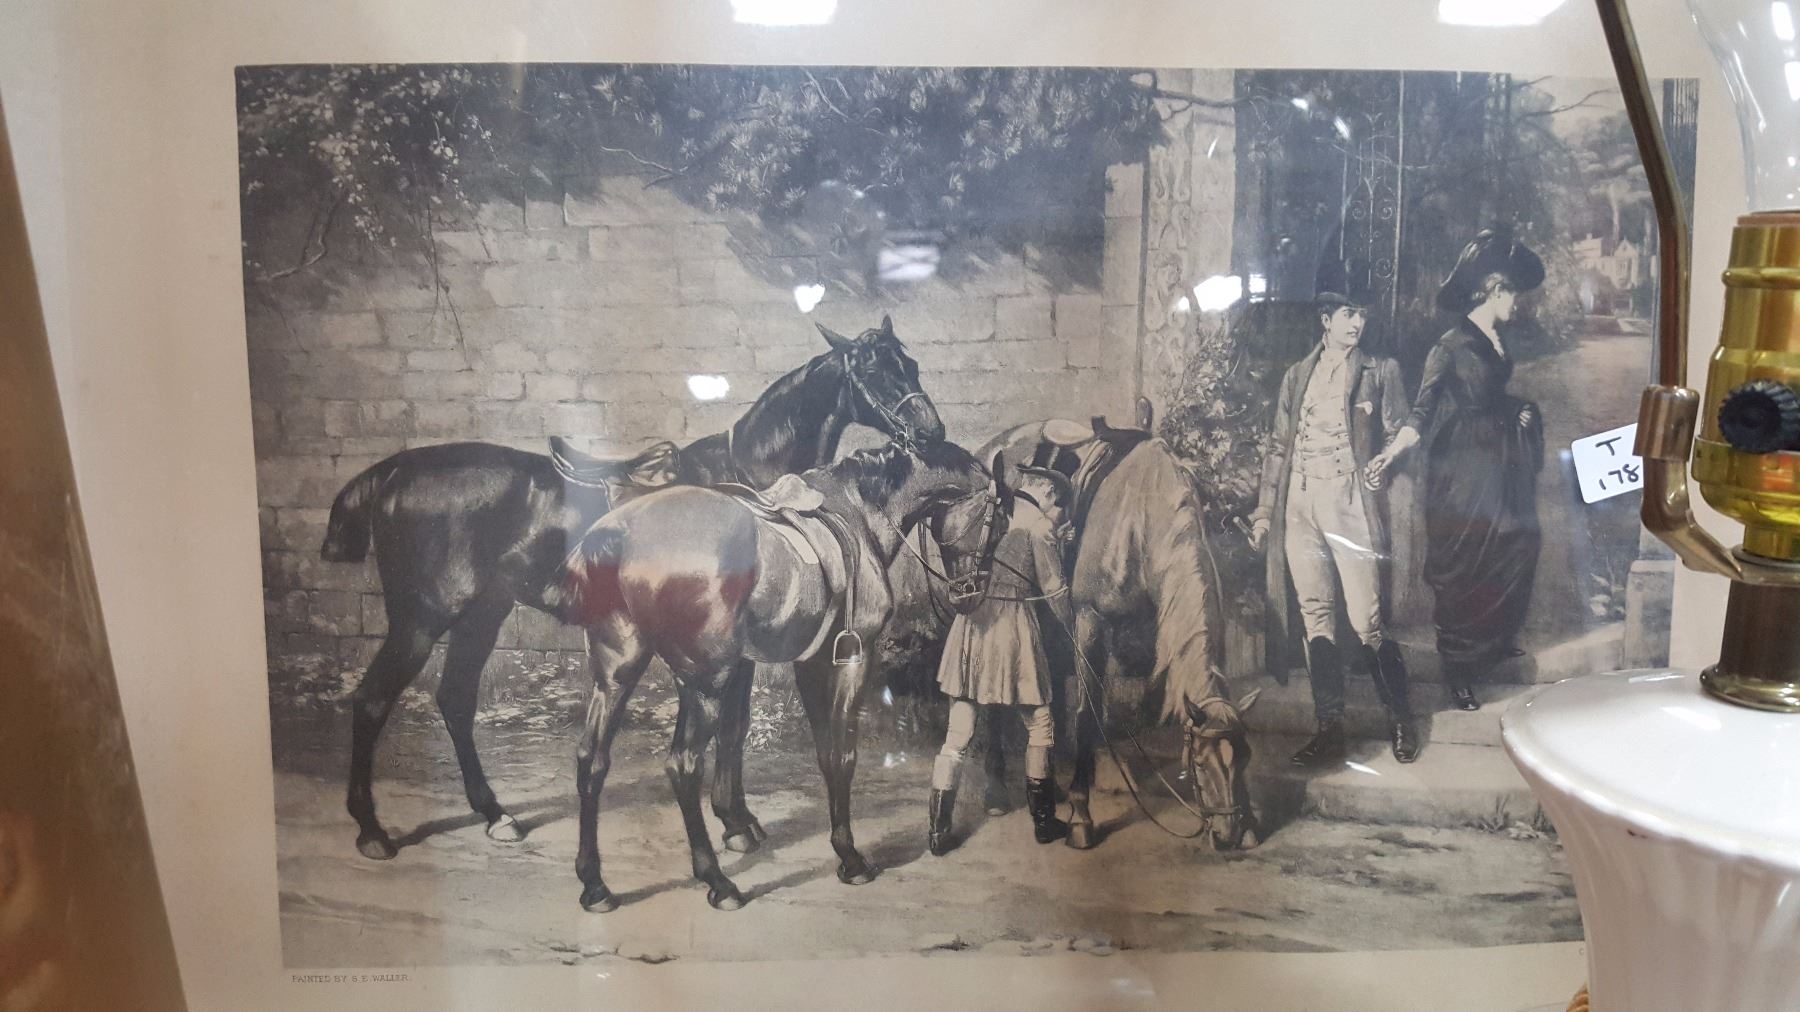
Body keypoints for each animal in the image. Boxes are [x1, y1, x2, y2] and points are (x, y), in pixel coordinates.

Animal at [318, 315, 943, 863]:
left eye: (911, 362)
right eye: (874, 368)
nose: (931, 432)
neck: (752, 488)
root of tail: (391, 472)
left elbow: (735, 727)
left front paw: (736, 819)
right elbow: (732, 728)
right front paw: (734, 825)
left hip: (481, 614)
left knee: (453, 700)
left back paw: (495, 815)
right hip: (421, 620)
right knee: (371, 701)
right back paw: (372, 831)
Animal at [543, 440, 1008, 912]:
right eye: (999, 523)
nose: (971, 593)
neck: (859, 509)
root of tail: (620, 533)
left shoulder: (805, 662)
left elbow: (813, 750)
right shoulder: (849, 660)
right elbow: (842, 754)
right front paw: (850, 858)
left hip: (619, 673)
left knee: (592, 759)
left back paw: (596, 886)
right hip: (704, 682)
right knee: (683, 765)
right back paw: (719, 882)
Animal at [979, 419, 1261, 850]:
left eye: (1244, 757)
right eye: (1199, 762)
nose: (1228, 833)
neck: (1137, 523)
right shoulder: (1089, 624)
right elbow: (1086, 716)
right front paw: (1081, 816)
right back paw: (995, 792)